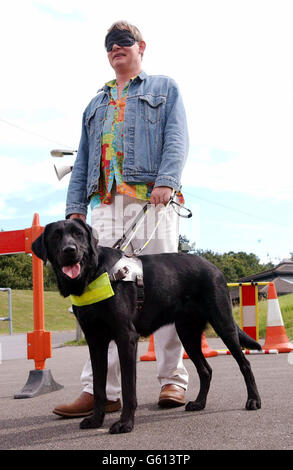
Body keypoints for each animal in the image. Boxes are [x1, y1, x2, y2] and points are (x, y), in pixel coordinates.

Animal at [31, 218, 260, 436]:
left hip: (223, 324)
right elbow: (98, 387)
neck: (94, 274)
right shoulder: (95, 342)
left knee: (245, 363)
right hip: (188, 334)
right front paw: (96, 420)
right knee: (206, 370)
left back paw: (254, 400)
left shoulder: (126, 337)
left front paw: (125, 423)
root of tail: (214, 267)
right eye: (56, 236)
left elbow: (128, 387)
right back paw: (199, 403)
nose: (69, 250)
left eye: (78, 234)